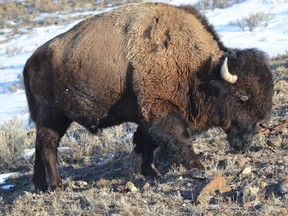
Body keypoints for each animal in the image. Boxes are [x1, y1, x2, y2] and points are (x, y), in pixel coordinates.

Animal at [23, 2, 274, 191]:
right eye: (242, 94)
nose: (262, 125)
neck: (199, 70)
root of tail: (29, 63)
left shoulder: (147, 115)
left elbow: (146, 142)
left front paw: (151, 172)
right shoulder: (159, 109)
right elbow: (178, 137)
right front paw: (197, 167)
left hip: (50, 120)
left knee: (39, 148)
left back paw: (40, 186)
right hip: (53, 117)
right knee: (48, 147)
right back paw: (57, 185)